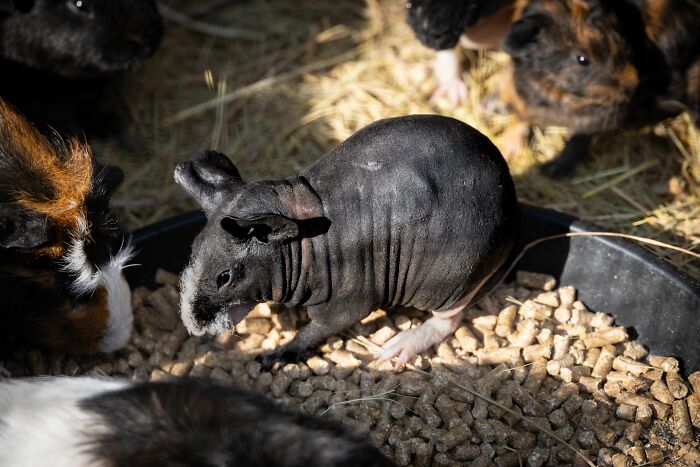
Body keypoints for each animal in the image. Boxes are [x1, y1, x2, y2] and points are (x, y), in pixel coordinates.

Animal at [175, 115, 518, 370]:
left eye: (224, 278)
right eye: (191, 254)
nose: (192, 327)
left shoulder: (348, 303)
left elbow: (319, 329)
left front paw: (280, 354)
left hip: (448, 282)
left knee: (449, 320)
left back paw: (402, 345)